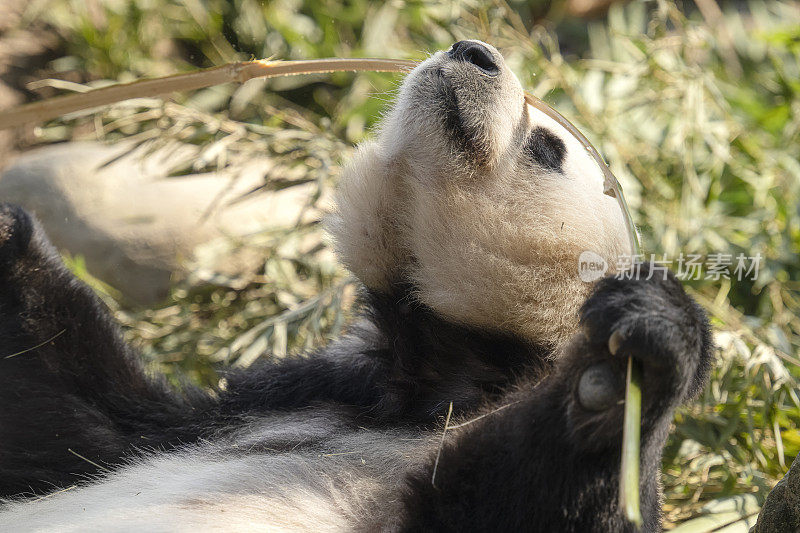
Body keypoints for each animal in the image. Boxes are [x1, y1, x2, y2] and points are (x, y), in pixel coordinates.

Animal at [0, 39, 712, 528]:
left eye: (546, 146)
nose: (472, 50)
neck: (441, 374)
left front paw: (622, 369)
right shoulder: (294, 397)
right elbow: (74, 422)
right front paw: (5, 229)